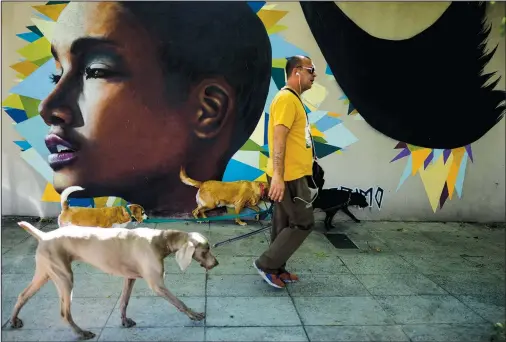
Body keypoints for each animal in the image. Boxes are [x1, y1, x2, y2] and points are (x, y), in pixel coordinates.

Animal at [9, 222, 218, 340]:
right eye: (205, 250)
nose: (216, 263)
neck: (161, 240)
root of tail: (44, 235)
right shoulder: (157, 285)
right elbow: (179, 302)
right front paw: (194, 315)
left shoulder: (130, 278)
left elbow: (124, 301)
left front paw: (124, 321)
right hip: (65, 278)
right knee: (64, 312)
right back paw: (81, 333)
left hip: (45, 273)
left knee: (22, 295)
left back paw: (13, 321)